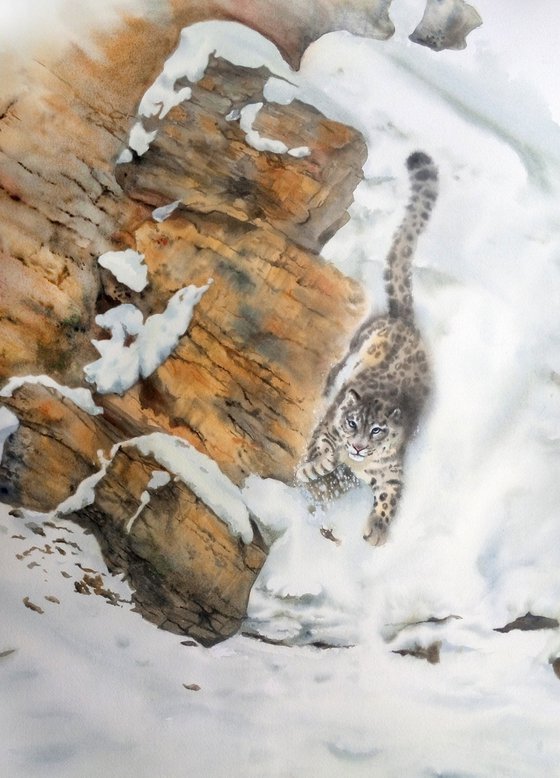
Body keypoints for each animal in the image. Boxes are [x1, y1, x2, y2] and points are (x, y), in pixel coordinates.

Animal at [296, 149, 440, 544]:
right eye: (352, 422)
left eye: (377, 430)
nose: (359, 446)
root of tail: (406, 321)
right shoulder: (328, 429)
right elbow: (321, 448)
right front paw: (317, 465)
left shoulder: (391, 470)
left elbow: (390, 493)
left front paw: (377, 528)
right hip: (358, 341)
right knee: (339, 364)